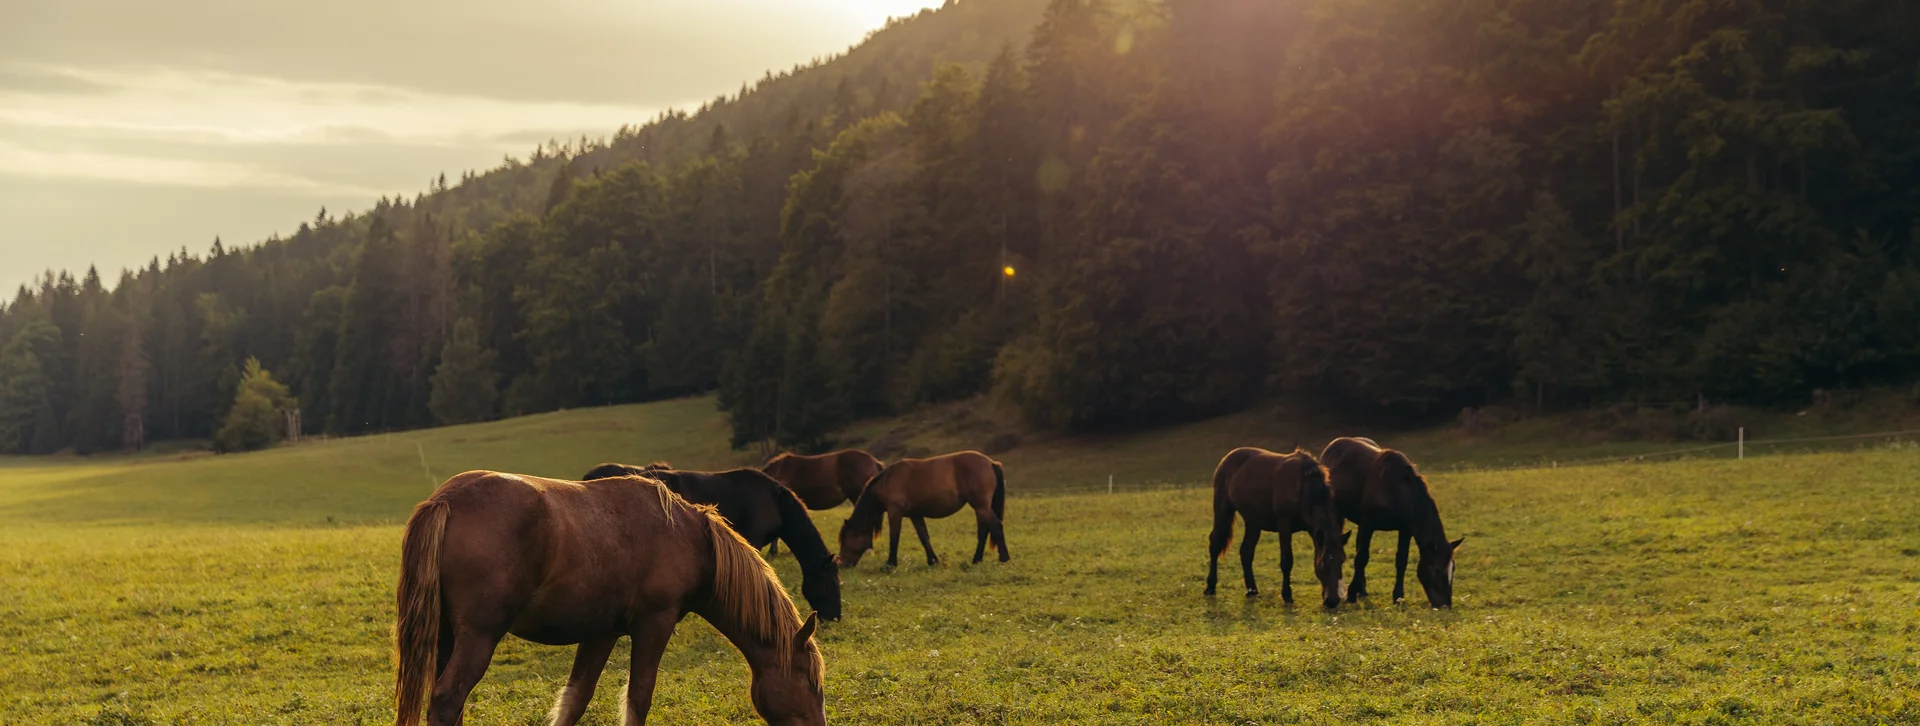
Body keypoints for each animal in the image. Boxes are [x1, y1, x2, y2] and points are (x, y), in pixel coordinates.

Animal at [392, 471, 825, 726]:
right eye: (809, 681)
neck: (687, 536)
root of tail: (445, 501)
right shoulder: (654, 624)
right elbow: (638, 698)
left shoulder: (600, 633)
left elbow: (575, 700)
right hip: (478, 638)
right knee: (448, 698)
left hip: (447, 637)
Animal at [836, 451, 1008, 568]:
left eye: (846, 540)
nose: (841, 564)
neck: (887, 480)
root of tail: (991, 463)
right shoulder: (915, 515)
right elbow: (924, 537)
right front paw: (933, 560)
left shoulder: (895, 512)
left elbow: (894, 537)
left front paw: (891, 563)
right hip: (980, 507)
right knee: (984, 531)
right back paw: (977, 559)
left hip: (981, 506)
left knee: (996, 525)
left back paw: (1004, 558)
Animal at [1204, 447, 1349, 609]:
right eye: (1324, 562)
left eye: (1341, 560)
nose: (1332, 601)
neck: (1303, 486)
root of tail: (1227, 458)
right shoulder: (1284, 526)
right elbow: (1287, 561)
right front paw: (1287, 594)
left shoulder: (1312, 530)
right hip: (1223, 509)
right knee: (1215, 545)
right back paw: (1210, 586)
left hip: (1253, 521)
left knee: (1246, 552)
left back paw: (1252, 590)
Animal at [1321, 437, 1465, 608]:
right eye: (1436, 570)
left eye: (1453, 569)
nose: (1445, 605)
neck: (1397, 491)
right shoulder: (1368, 524)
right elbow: (1362, 558)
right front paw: (1351, 595)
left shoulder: (1405, 530)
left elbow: (1401, 560)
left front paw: (1398, 596)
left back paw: (1362, 590)